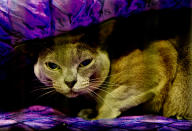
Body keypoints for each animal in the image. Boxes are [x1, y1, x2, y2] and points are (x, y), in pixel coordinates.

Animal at [33, 9, 191, 119]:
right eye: (53, 66)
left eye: (85, 62)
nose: (70, 82)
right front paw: (86, 112)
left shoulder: (159, 59)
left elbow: (113, 98)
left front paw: (96, 117)